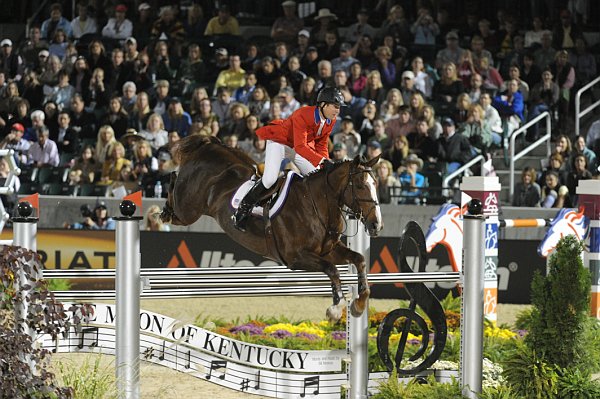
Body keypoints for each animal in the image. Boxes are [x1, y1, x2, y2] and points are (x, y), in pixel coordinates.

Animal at [161, 136, 384, 324]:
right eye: (361, 186)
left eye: (376, 184)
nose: (377, 225)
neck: (316, 203)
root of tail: (207, 145)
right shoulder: (295, 257)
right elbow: (331, 269)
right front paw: (336, 309)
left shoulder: (328, 250)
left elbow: (359, 259)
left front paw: (359, 304)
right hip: (188, 211)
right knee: (173, 181)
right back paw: (164, 210)